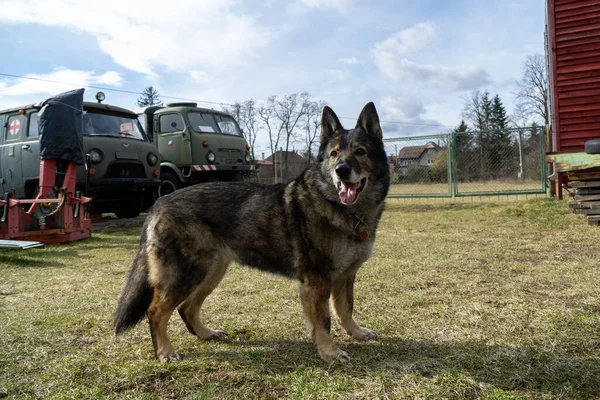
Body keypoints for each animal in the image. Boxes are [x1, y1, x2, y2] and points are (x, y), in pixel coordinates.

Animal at [114, 102, 392, 362]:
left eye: (360, 151)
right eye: (334, 154)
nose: (341, 170)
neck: (345, 209)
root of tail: (158, 203)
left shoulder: (345, 276)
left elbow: (346, 309)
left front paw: (356, 332)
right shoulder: (317, 280)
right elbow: (324, 321)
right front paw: (329, 352)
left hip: (211, 272)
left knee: (187, 309)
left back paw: (206, 333)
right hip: (186, 274)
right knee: (156, 311)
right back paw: (165, 352)